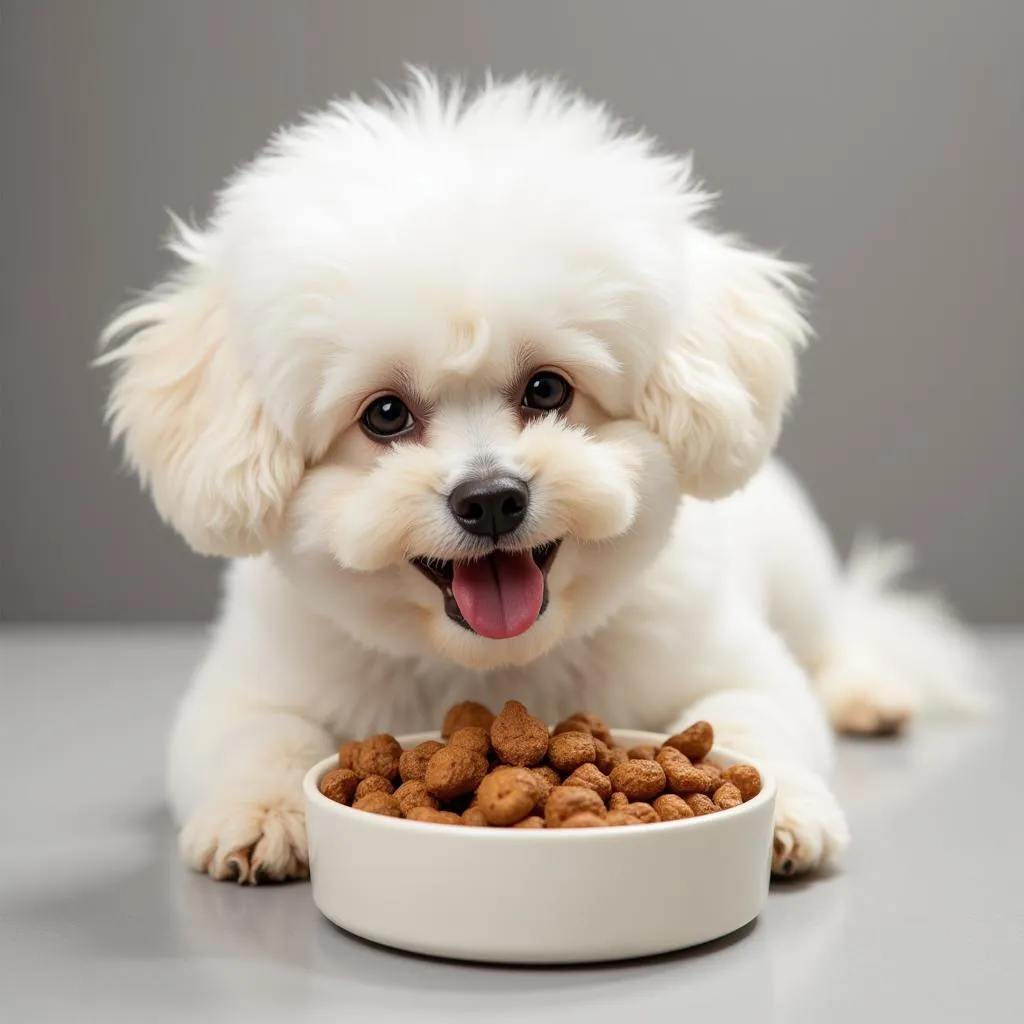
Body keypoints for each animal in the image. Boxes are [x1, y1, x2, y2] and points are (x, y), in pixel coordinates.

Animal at [97, 74, 983, 888]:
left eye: (549, 390)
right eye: (384, 415)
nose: (490, 499)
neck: (495, 668)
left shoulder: (731, 663)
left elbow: (753, 714)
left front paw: (785, 806)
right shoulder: (247, 686)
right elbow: (260, 737)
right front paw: (262, 811)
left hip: (798, 567)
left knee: (837, 637)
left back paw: (867, 690)